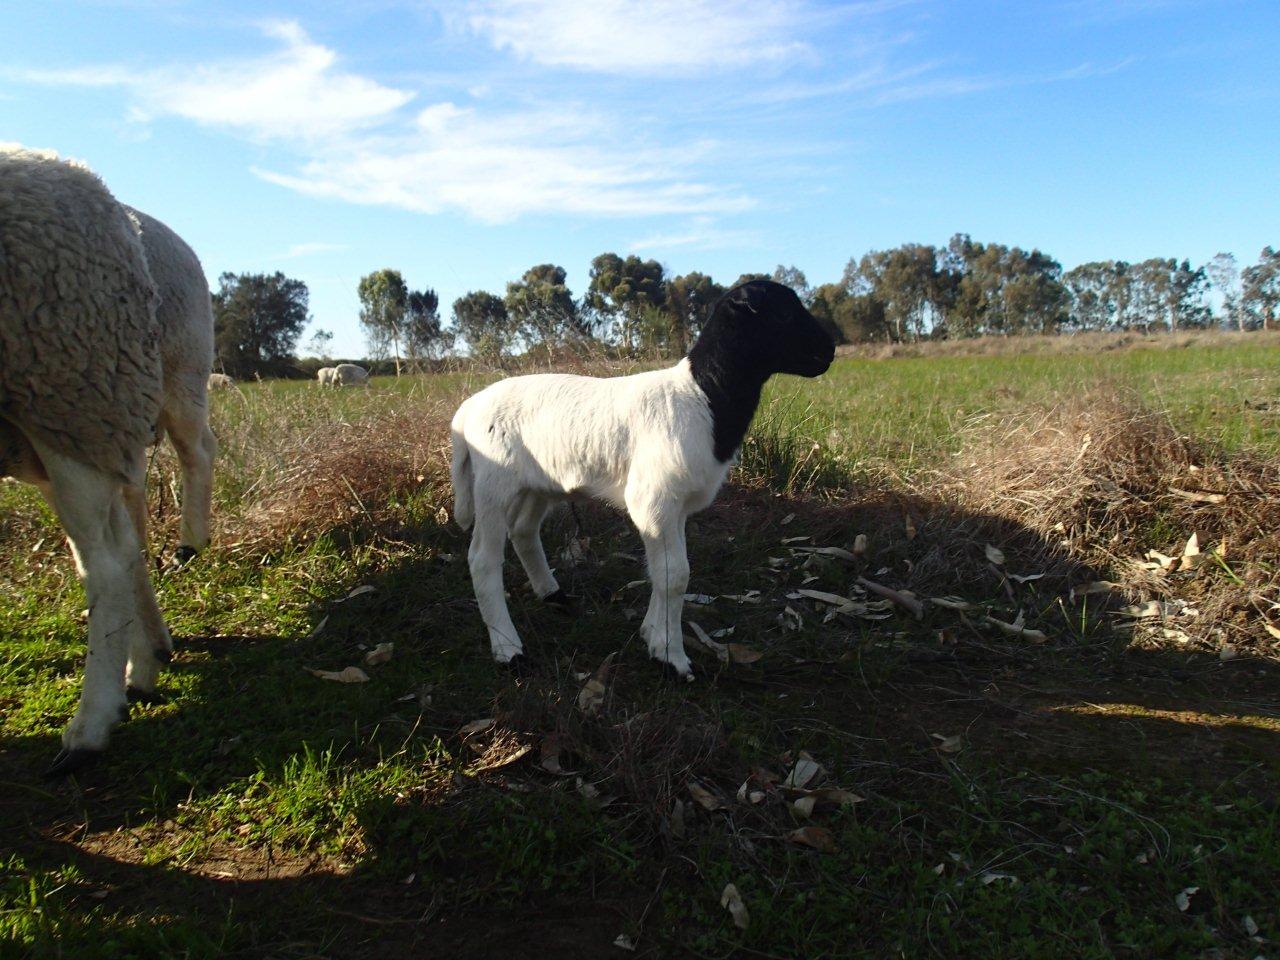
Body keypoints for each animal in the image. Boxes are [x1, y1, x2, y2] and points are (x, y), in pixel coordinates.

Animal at [450, 280, 835, 677]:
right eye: (784, 313)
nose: (831, 351)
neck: (703, 396)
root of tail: (466, 411)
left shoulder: (675, 505)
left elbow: (666, 573)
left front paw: (652, 633)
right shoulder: (653, 501)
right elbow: (675, 575)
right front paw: (671, 656)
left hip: (536, 484)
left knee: (524, 531)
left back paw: (554, 595)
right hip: (493, 485)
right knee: (482, 558)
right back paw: (508, 648)